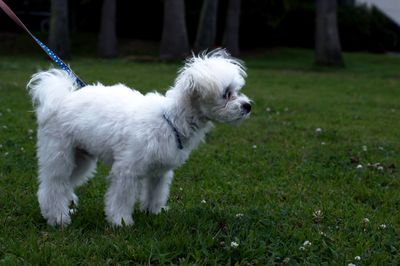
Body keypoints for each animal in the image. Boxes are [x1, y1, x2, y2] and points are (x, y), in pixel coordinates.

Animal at [27, 49, 250, 227]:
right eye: (226, 94)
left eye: (237, 91)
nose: (248, 106)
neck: (170, 121)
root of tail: (60, 98)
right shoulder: (127, 170)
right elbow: (121, 198)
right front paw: (121, 221)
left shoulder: (159, 171)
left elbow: (155, 193)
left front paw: (153, 212)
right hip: (60, 154)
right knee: (53, 185)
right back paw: (58, 217)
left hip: (81, 157)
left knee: (63, 184)